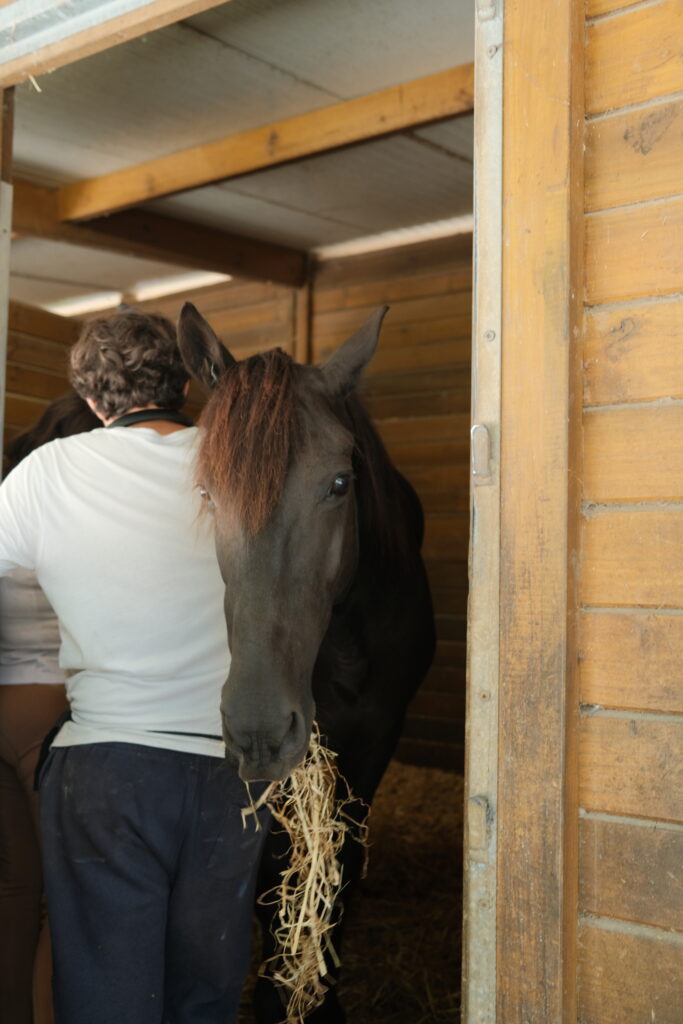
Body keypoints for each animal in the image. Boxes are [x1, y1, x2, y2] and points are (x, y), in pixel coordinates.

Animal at [177, 302, 436, 1023]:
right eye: (207, 492)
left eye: (340, 483)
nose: (259, 727)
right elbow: (273, 868)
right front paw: (275, 992)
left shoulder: (376, 737)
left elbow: (340, 862)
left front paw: (321, 993)